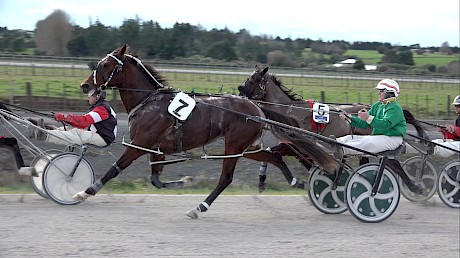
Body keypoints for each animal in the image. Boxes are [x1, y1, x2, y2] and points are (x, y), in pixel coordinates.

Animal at [73, 45, 336, 219]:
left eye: (106, 65)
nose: (85, 85)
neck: (148, 101)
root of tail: (256, 107)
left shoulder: (139, 144)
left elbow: (114, 169)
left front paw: (85, 192)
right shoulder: (156, 149)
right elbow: (156, 180)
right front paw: (184, 181)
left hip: (233, 145)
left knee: (226, 178)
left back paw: (200, 207)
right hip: (246, 147)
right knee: (275, 156)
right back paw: (296, 182)